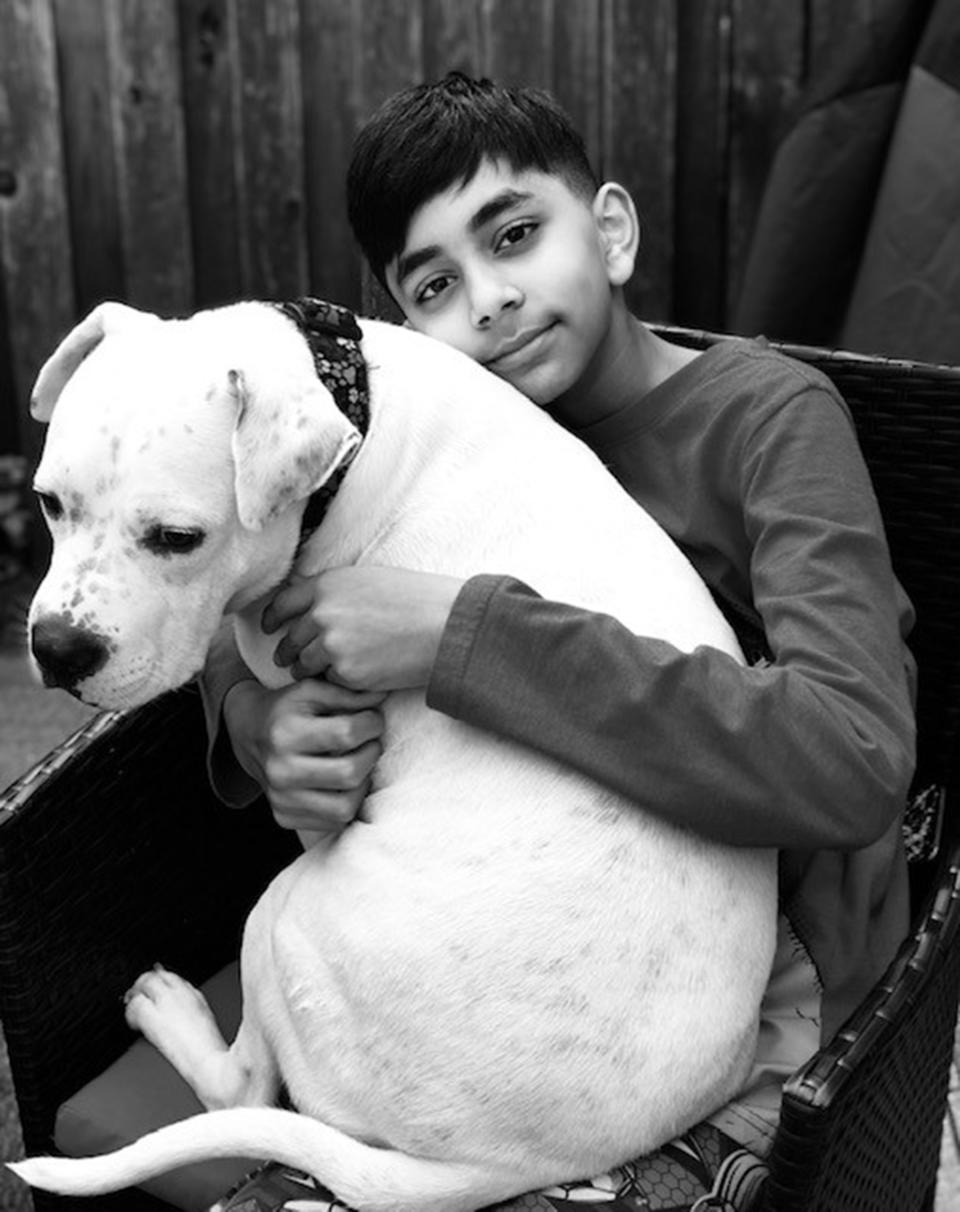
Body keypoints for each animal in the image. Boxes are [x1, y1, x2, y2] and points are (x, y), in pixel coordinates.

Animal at [13, 300, 780, 1212]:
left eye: (176, 537)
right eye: (49, 503)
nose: (57, 648)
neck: (348, 422)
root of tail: (509, 1167)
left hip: (281, 916)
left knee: (245, 1087)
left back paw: (170, 1012)